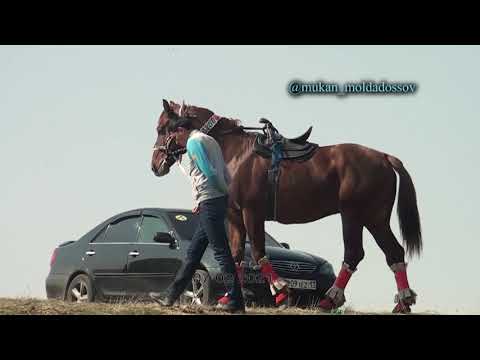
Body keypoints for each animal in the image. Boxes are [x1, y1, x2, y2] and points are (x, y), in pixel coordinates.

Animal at [152, 100, 422, 314]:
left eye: (162, 128)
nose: (155, 164)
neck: (234, 152)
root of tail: (383, 157)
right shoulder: (235, 217)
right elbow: (236, 255)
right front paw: (229, 298)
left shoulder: (252, 213)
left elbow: (258, 252)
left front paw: (281, 290)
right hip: (375, 218)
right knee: (394, 252)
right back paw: (402, 302)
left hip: (354, 215)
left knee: (355, 253)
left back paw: (330, 300)